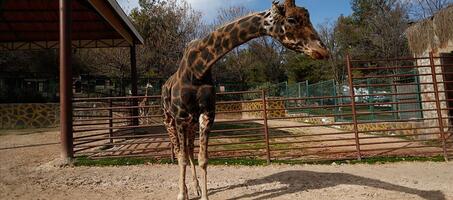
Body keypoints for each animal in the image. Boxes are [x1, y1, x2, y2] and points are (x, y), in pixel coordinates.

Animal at [161, 0, 326, 199]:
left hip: (191, 123)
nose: (323, 50)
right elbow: (182, 157)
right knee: (180, 151)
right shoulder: (180, 117)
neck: (198, 69)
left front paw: (203, 194)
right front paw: (181, 194)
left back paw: (196, 188)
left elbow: (202, 159)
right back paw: (185, 190)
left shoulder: (207, 114)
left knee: (189, 151)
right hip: (169, 120)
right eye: (292, 19)